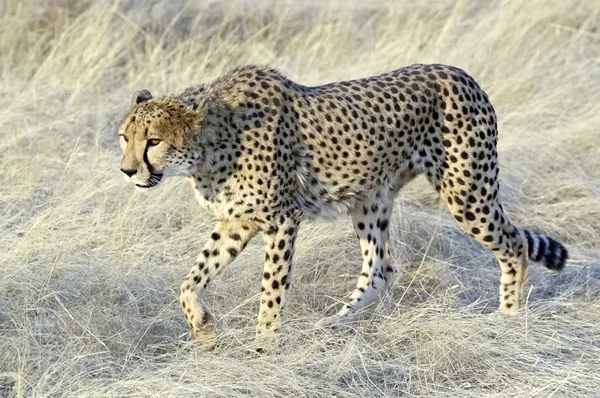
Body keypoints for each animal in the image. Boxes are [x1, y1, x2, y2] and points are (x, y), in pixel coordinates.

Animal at [117, 64, 568, 348]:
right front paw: (204, 329)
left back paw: (508, 318)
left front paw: (263, 349)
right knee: (381, 269)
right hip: (369, 200)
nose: (126, 170)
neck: (210, 144)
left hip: (466, 191)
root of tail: (461, 73)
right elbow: (190, 280)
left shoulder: (282, 219)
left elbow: (271, 291)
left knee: (515, 245)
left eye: (153, 140)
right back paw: (335, 322)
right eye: (125, 136)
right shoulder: (238, 221)